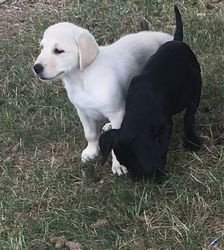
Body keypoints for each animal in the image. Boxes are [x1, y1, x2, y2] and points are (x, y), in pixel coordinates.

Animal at [33, 23, 172, 176]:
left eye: (58, 51)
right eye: (42, 47)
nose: (36, 68)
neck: (82, 79)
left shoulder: (117, 113)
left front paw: (118, 165)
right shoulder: (82, 111)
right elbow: (90, 133)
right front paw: (91, 151)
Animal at [99, 5, 202, 180]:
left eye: (138, 164)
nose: (136, 180)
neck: (142, 105)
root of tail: (176, 40)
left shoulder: (170, 121)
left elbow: (187, 118)